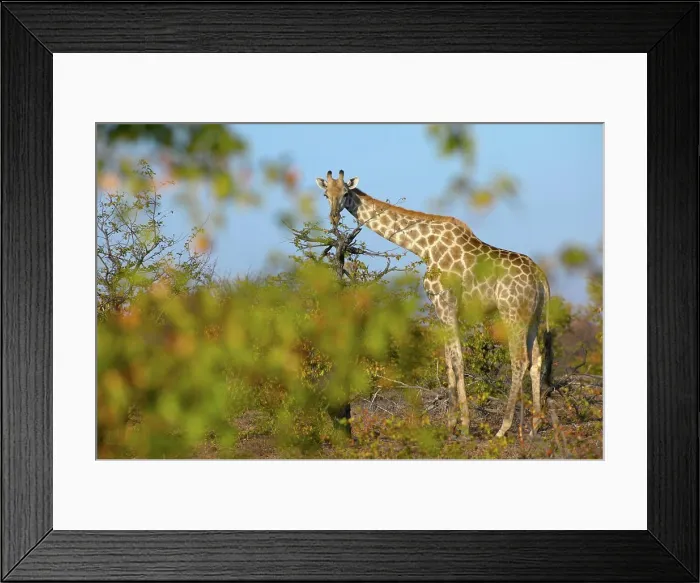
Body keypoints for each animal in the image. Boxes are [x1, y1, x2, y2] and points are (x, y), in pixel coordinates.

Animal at [315, 170, 554, 438]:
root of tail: (539, 275)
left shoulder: (445, 302)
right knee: (536, 360)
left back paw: (503, 428)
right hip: (533, 315)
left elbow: (458, 360)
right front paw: (450, 424)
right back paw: (535, 425)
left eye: (345, 193)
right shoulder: (440, 307)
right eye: (326, 194)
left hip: (512, 312)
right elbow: (448, 360)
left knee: (520, 361)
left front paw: (465, 426)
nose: (334, 217)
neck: (424, 248)